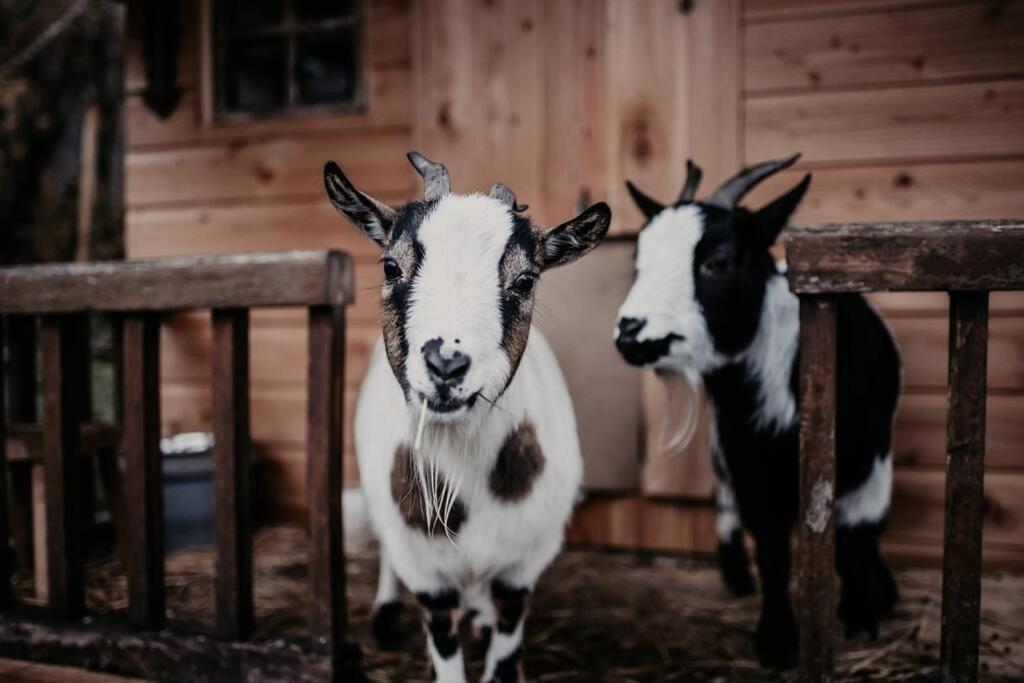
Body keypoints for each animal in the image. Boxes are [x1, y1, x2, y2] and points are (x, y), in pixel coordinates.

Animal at [323, 152, 606, 679]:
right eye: (391, 265)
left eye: (526, 280)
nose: (447, 364)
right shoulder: (425, 568)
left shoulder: (524, 563)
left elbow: (506, 643)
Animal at [610, 157, 901, 671]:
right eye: (637, 263)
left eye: (717, 262)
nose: (631, 333)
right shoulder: (748, 460)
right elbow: (771, 549)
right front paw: (778, 639)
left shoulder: (872, 460)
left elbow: (857, 536)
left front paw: (863, 612)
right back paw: (736, 576)